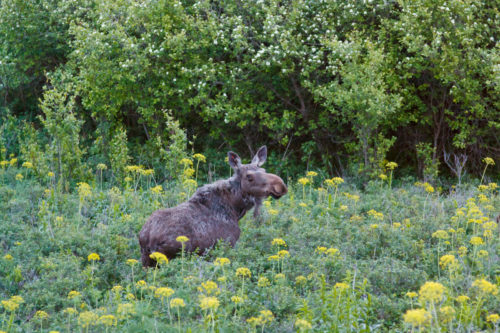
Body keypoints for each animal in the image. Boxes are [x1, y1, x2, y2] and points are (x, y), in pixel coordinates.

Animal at [140, 147, 290, 266]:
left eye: (263, 169)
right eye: (249, 176)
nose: (280, 185)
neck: (235, 209)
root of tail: (148, 238)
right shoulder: (226, 245)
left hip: (147, 261)